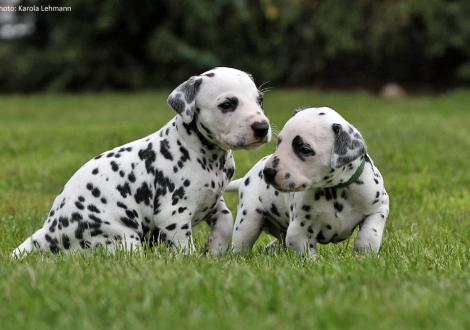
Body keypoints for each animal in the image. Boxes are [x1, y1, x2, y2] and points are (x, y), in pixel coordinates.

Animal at [11, 67, 272, 258]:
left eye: (259, 100)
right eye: (227, 104)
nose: (262, 127)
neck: (201, 152)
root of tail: (48, 232)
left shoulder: (213, 200)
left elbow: (226, 221)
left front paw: (216, 251)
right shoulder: (174, 214)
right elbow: (183, 247)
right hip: (122, 237)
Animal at [229, 107, 390, 256]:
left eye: (305, 149)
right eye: (279, 142)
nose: (267, 172)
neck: (335, 190)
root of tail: (245, 178)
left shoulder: (379, 207)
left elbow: (369, 233)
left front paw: (364, 255)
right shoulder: (299, 229)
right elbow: (306, 253)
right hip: (248, 220)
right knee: (242, 243)